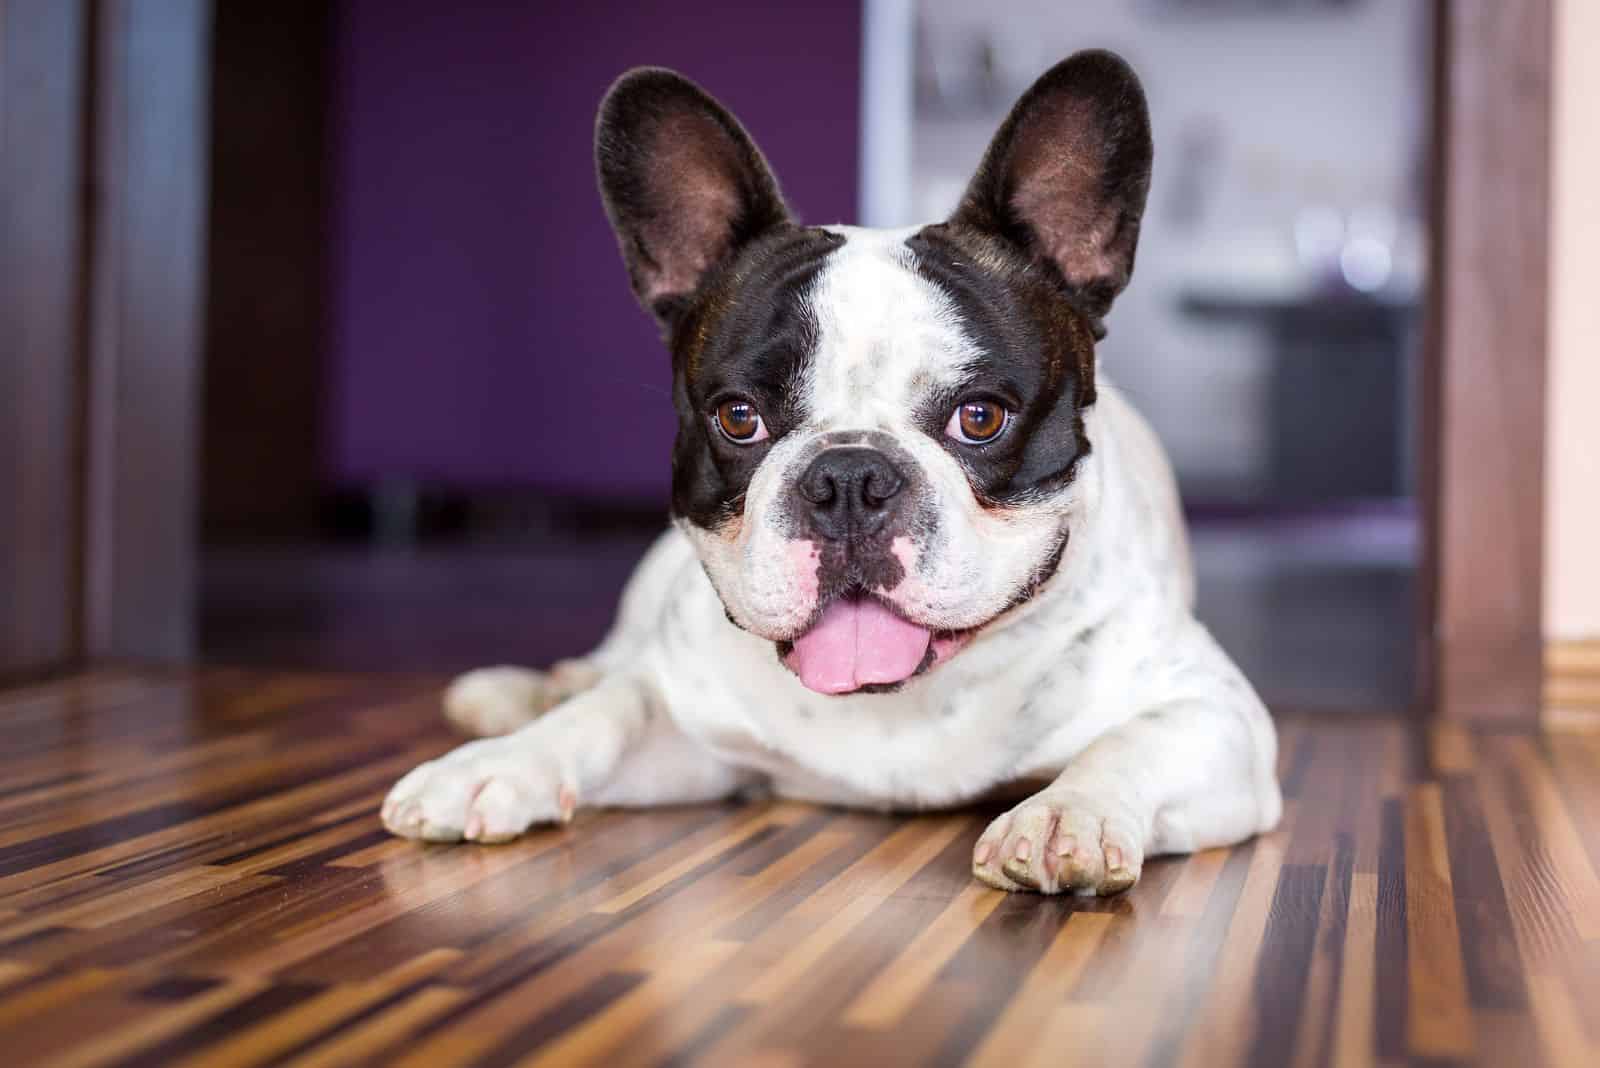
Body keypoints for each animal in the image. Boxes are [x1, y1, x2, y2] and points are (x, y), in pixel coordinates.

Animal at [380, 54, 1280, 895]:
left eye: (980, 417)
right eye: (739, 418)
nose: (849, 479)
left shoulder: (1220, 716)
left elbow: (1135, 740)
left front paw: (1068, 814)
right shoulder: (689, 727)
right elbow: (613, 713)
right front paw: (498, 764)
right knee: (607, 669)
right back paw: (525, 693)